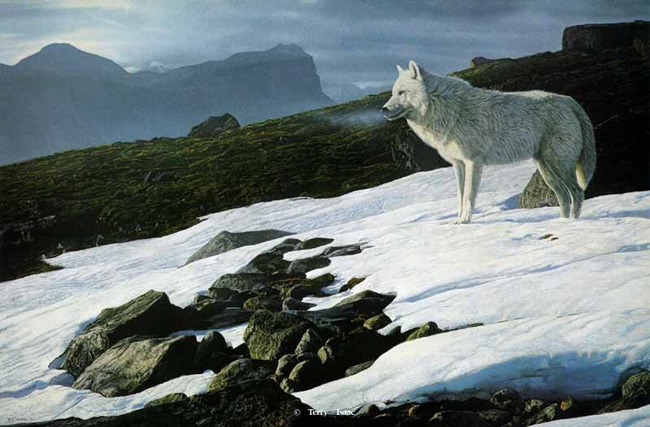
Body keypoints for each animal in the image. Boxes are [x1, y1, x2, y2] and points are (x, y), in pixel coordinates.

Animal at [382, 61, 596, 224]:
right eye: (393, 92)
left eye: (401, 92)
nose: (383, 110)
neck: (448, 110)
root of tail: (569, 100)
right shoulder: (458, 164)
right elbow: (460, 196)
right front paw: (457, 221)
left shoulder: (473, 162)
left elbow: (469, 196)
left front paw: (465, 221)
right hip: (546, 170)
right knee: (564, 197)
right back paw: (562, 222)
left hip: (559, 165)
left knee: (577, 193)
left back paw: (573, 223)